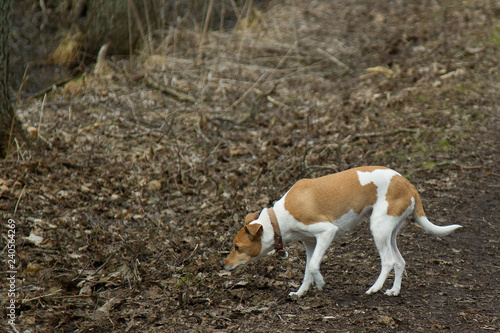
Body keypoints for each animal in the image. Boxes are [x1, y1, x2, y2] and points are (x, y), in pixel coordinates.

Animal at [225, 166, 462, 298]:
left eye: (237, 247)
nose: (223, 265)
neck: (278, 218)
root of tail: (409, 184)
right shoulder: (311, 244)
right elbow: (307, 270)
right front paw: (301, 292)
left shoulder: (327, 231)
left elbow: (313, 266)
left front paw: (321, 283)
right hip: (389, 232)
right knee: (400, 261)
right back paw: (394, 291)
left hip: (378, 229)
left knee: (388, 261)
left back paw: (374, 288)